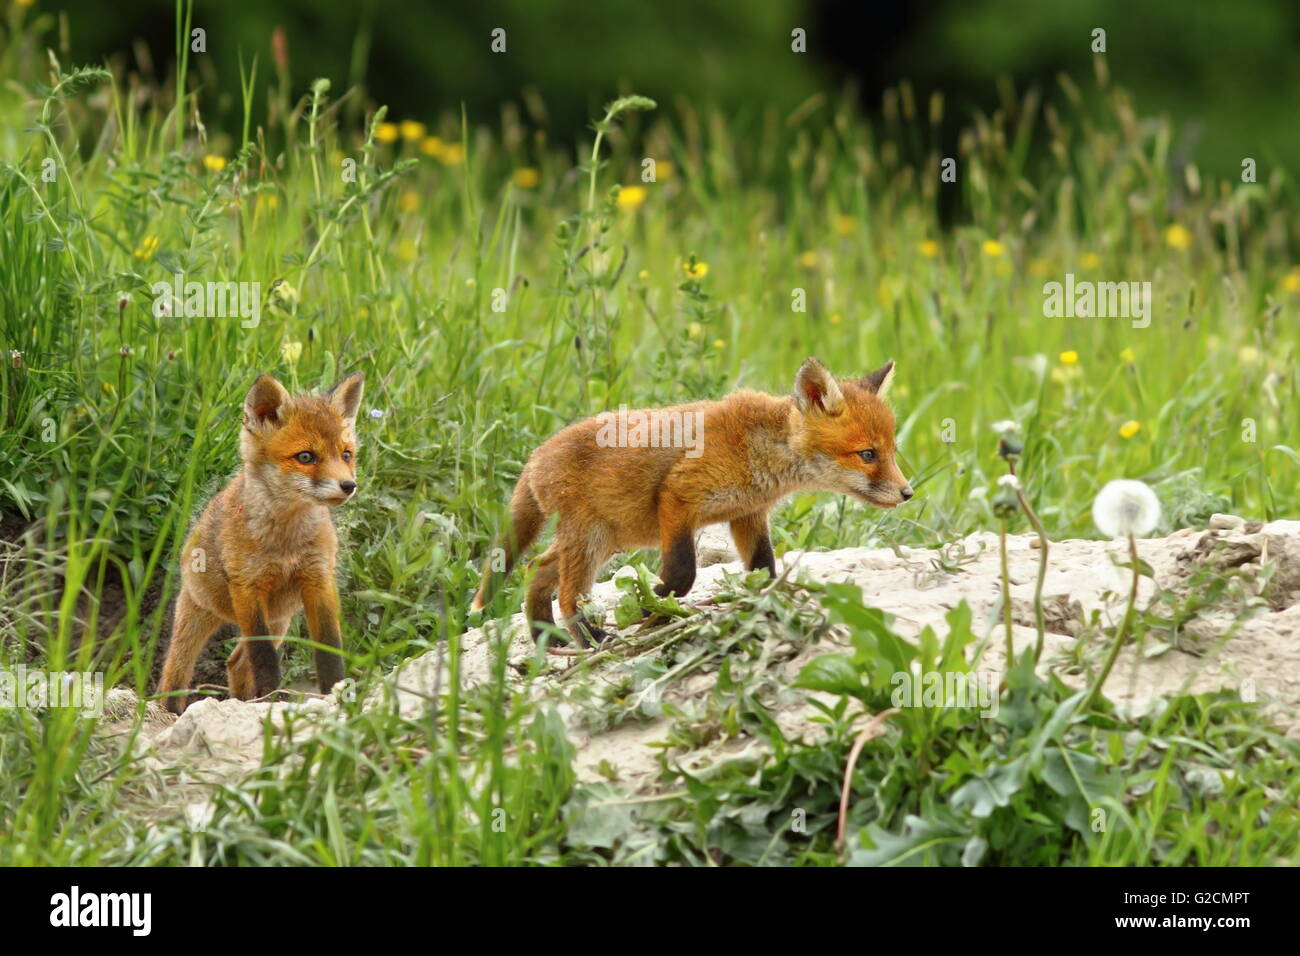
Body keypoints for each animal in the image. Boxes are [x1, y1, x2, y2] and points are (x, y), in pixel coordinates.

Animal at [156, 371, 365, 715]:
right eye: (306, 457)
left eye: (346, 454)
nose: (348, 485)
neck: (286, 543)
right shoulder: (247, 588)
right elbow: (264, 659)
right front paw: (272, 699)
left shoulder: (319, 580)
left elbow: (329, 648)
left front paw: (336, 694)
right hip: (198, 614)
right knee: (175, 672)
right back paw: (171, 711)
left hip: (279, 620)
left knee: (236, 663)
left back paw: (243, 702)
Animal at [472, 357, 911, 647]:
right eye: (867, 454)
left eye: (892, 452)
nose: (908, 493)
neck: (760, 450)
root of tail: (535, 456)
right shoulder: (679, 496)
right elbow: (683, 573)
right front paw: (649, 606)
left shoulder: (748, 514)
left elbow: (763, 569)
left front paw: (759, 603)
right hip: (592, 539)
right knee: (565, 593)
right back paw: (590, 637)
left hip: (608, 538)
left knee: (536, 568)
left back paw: (545, 637)